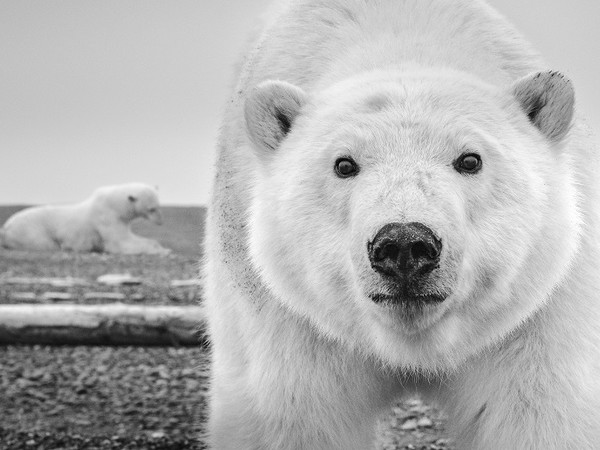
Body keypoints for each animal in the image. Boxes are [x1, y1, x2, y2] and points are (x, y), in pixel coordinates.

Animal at [1, 181, 170, 255]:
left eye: (159, 205)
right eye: (151, 209)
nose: (161, 221)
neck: (114, 204)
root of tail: (5, 227)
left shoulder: (120, 219)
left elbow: (130, 237)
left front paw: (162, 247)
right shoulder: (106, 217)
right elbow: (119, 243)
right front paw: (160, 250)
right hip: (30, 231)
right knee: (45, 243)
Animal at [204, 0, 600, 450]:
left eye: (470, 159)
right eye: (344, 164)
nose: (405, 245)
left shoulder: (538, 317)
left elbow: (540, 413)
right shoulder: (289, 321)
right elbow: (294, 418)